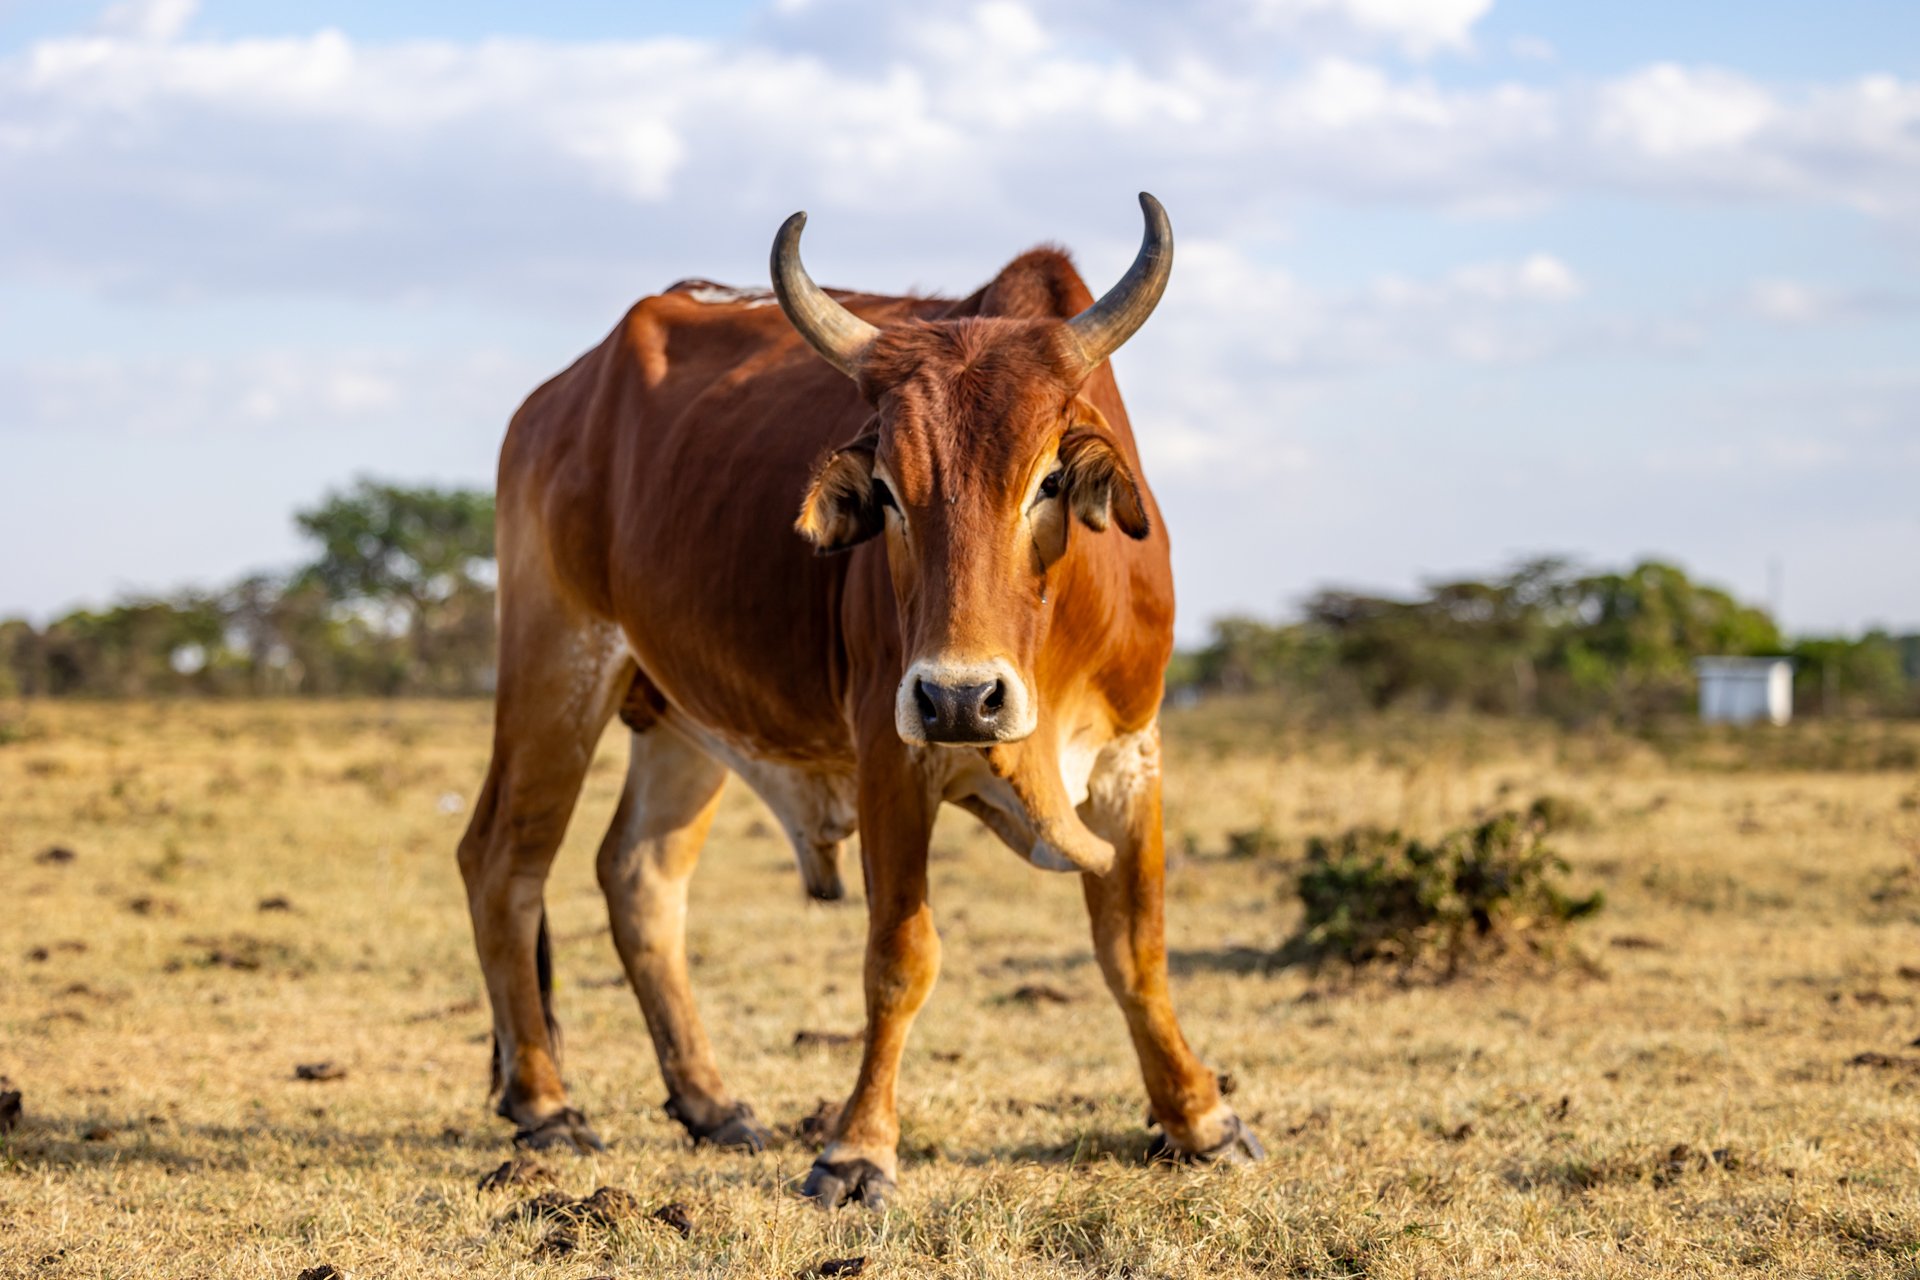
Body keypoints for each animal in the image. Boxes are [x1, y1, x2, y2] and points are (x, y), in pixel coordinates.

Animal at [449, 195, 1259, 1205]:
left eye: (1047, 481)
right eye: (889, 494)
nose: (962, 699)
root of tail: (557, 396)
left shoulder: (1130, 754)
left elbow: (1135, 947)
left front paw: (1200, 1117)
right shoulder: (891, 752)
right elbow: (901, 956)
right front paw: (857, 1148)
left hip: (680, 715)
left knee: (639, 875)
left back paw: (710, 1103)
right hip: (555, 661)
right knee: (504, 861)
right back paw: (546, 1104)